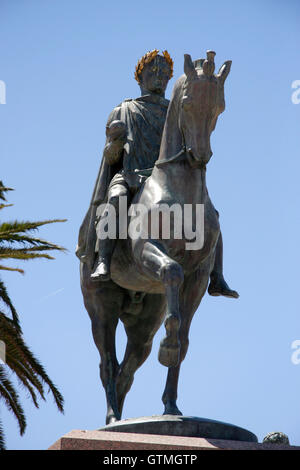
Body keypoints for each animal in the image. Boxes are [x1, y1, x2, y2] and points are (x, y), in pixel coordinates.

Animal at [79, 53, 232, 424]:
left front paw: (171, 405)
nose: (200, 155)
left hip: (144, 320)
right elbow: (172, 275)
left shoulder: (198, 276)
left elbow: (185, 339)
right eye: (188, 102)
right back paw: (112, 418)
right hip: (100, 307)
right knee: (107, 363)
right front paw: (170, 347)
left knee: (127, 369)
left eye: (219, 106)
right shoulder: (149, 252)